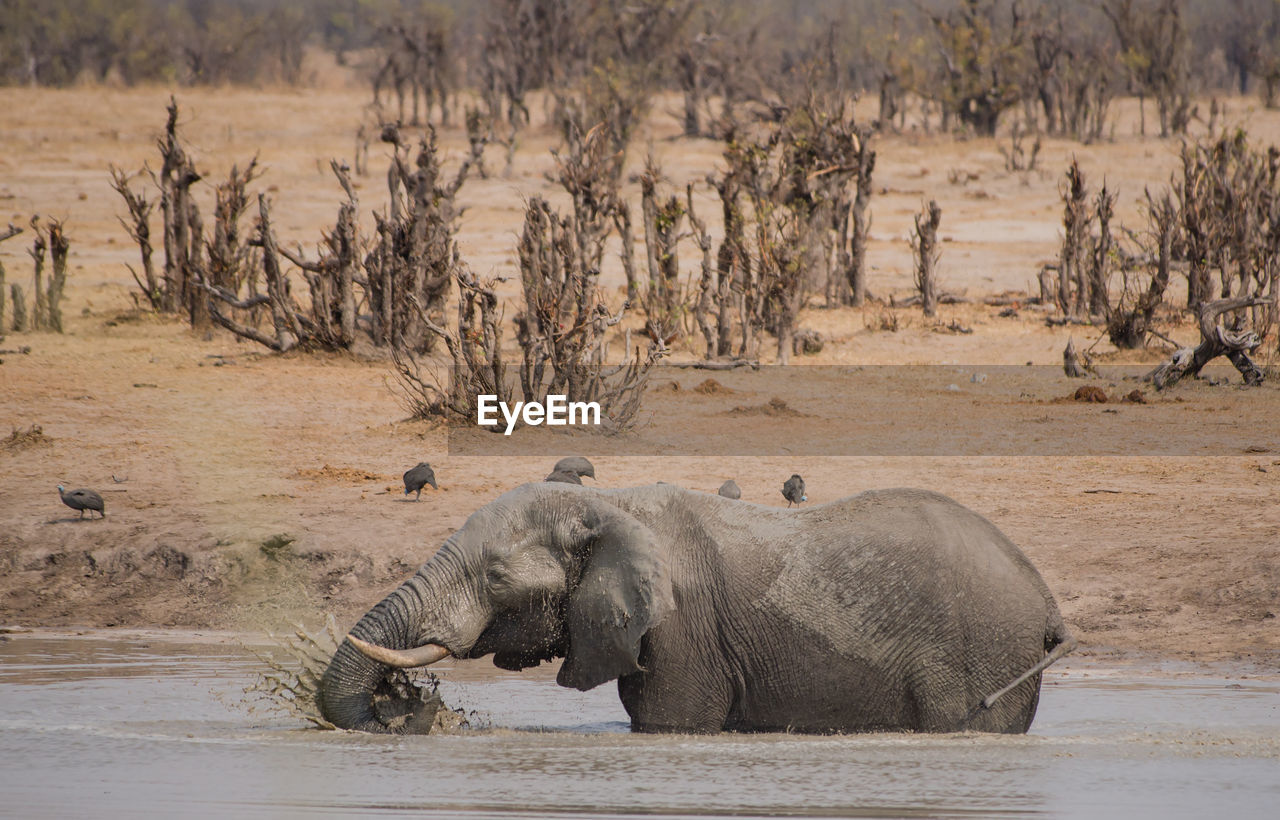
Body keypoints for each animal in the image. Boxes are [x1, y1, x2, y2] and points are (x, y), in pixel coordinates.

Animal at [317, 483, 1070, 731]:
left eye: (496, 577)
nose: (398, 707)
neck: (608, 504)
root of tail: (1044, 600)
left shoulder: (684, 633)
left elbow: (670, 720)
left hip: (977, 655)